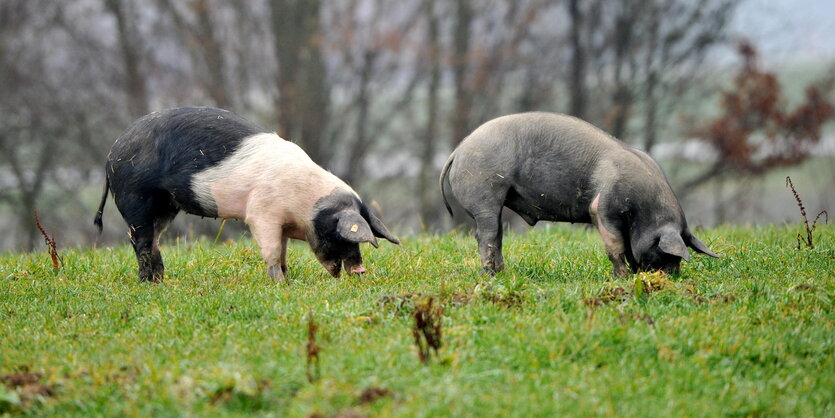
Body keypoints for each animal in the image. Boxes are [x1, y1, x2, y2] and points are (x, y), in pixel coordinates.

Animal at [93, 107, 400, 284]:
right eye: (336, 232)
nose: (360, 270)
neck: (304, 207)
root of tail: (110, 156)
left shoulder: (282, 223)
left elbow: (283, 250)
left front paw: (286, 276)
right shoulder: (262, 214)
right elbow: (272, 250)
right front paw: (280, 285)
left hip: (166, 205)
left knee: (154, 240)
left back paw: (160, 280)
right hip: (136, 197)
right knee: (141, 242)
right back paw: (148, 283)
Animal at [438, 112, 720, 278]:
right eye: (665, 253)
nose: (671, 277)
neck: (643, 210)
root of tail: (457, 151)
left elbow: (628, 247)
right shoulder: (602, 209)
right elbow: (615, 246)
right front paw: (622, 278)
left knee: (496, 235)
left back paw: (502, 273)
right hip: (484, 192)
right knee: (485, 235)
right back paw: (489, 275)